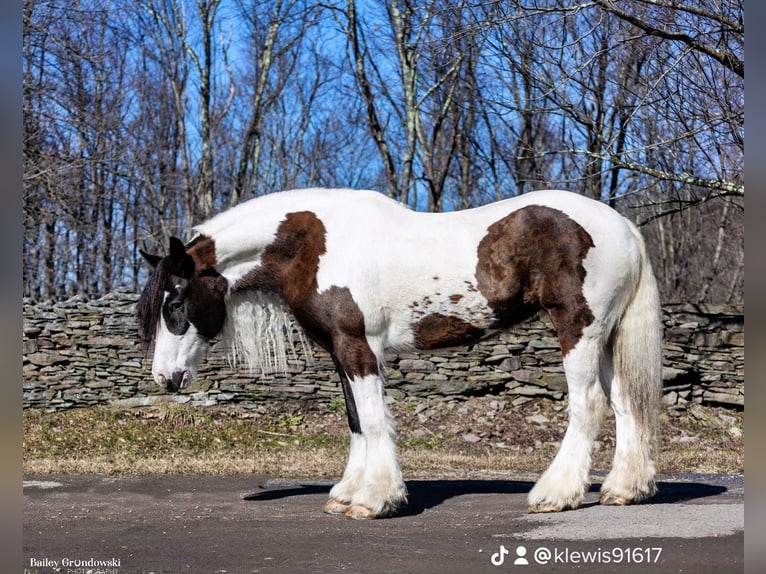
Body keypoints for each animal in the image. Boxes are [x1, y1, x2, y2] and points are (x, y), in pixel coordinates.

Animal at [135, 189, 664, 520]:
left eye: (174, 303)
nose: (165, 378)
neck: (311, 246)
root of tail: (620, 224)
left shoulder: (358, 345)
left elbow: (372, 420)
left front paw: (375, 500)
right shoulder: (339, 350)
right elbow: (354, 419)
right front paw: (346, 494)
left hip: (578, 330)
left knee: (589, 405)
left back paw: (555, 494)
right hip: (606, 337)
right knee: (625, 404)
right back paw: (624, 491)